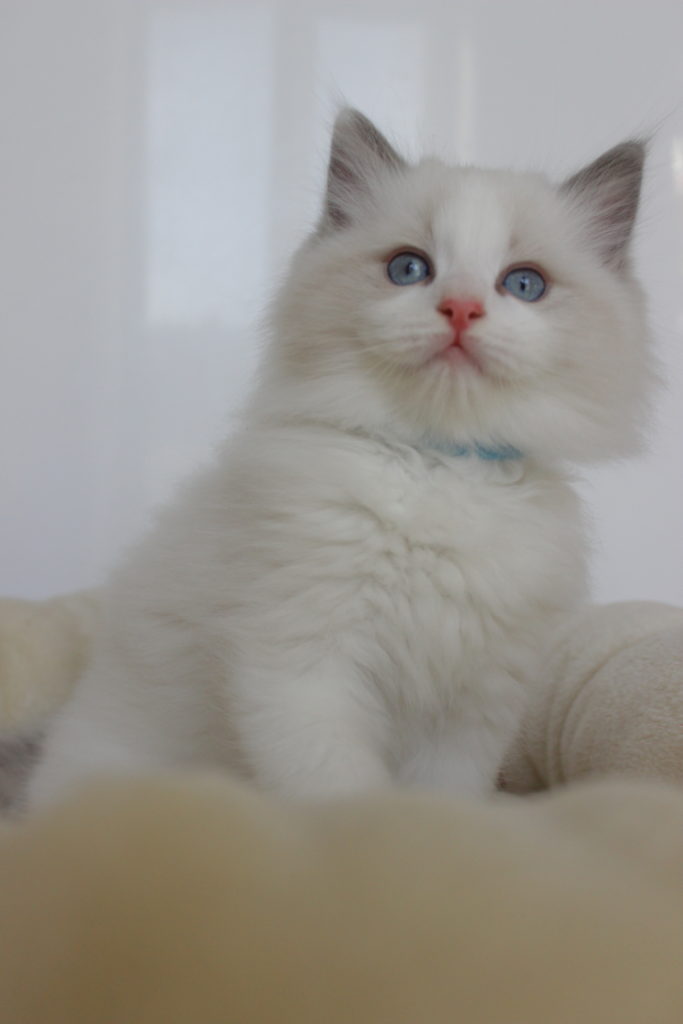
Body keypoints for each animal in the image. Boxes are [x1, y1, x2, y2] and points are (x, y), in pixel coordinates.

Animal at [26, 105, 655, 806]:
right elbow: (344, 793)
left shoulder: (470, 710)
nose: (461, 309)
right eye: (409, 269)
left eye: (524, 284)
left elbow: (443, 803)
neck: (440, 465)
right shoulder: (303, 669)